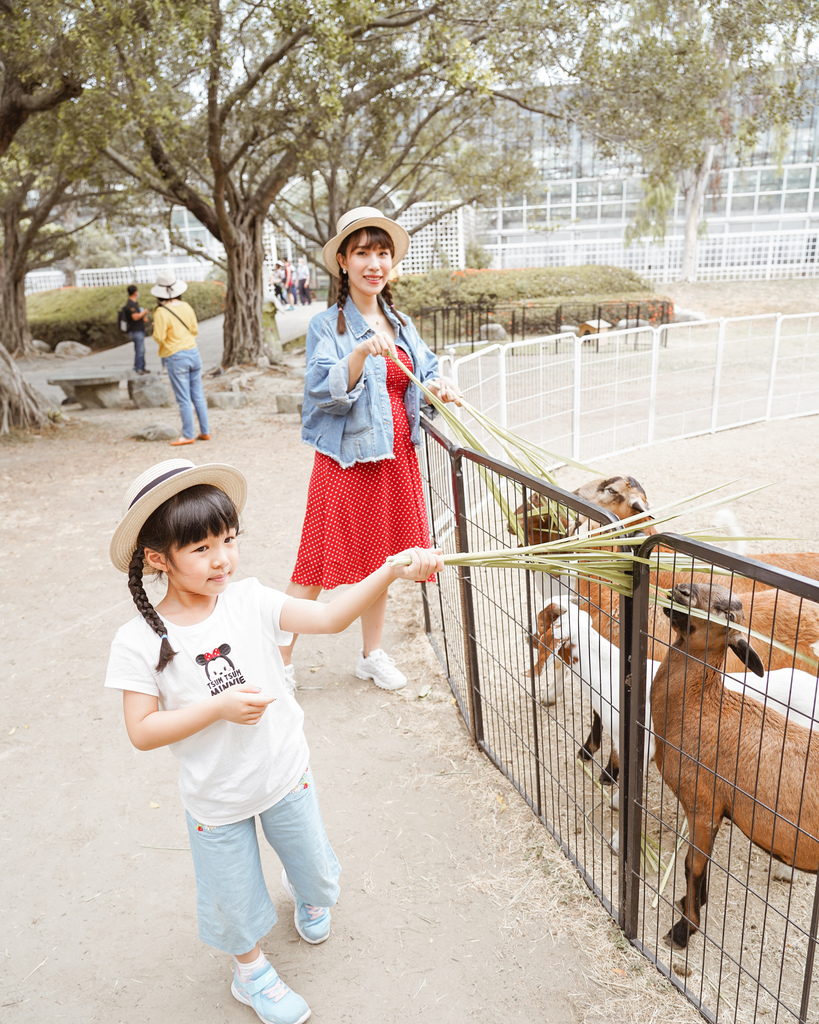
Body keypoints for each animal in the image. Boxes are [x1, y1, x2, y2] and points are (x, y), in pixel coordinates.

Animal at [655, 585, 819, 950]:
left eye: (728, 613)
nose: (681, 591)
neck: (700, 703)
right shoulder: (716, 809)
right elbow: (702, 862)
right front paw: (693, 902)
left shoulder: (702, 803)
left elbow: (692, 864)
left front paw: (685, 929)